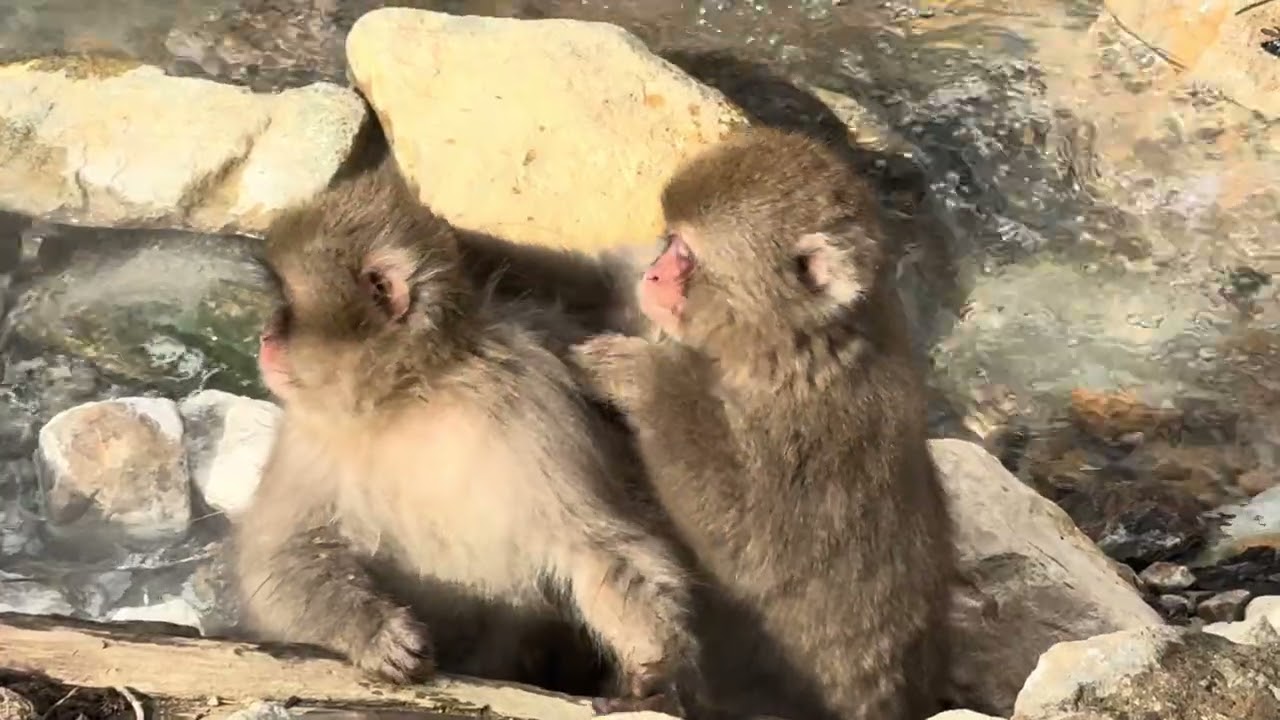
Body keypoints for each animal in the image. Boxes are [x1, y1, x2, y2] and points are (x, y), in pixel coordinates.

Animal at [230, 162, 700, 712]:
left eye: (289, 306)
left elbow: (599, 545)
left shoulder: (535, 409)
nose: (266, 336)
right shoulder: (311, 435)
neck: (413, 396)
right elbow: (281, 557)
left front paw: (657, 665)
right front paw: (376, 634)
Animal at [572, 126, 956, 720]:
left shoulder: (814, 429)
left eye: (686, 255)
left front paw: (641, 377)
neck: (784, 345)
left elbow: (745, 540)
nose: (652, 273)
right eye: (669, 241)